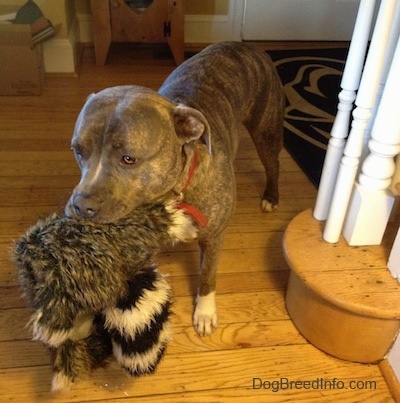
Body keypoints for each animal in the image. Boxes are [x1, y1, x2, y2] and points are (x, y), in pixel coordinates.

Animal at [65, 41, 284, 338]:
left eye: (128, 159)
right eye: (78, 151)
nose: (80, 206)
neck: (171, 194)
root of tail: (245, 44)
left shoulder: (213, 238)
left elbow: (207, 277)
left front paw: (204, 313)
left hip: (266, 132)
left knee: (273, 164)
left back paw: (271, 196)